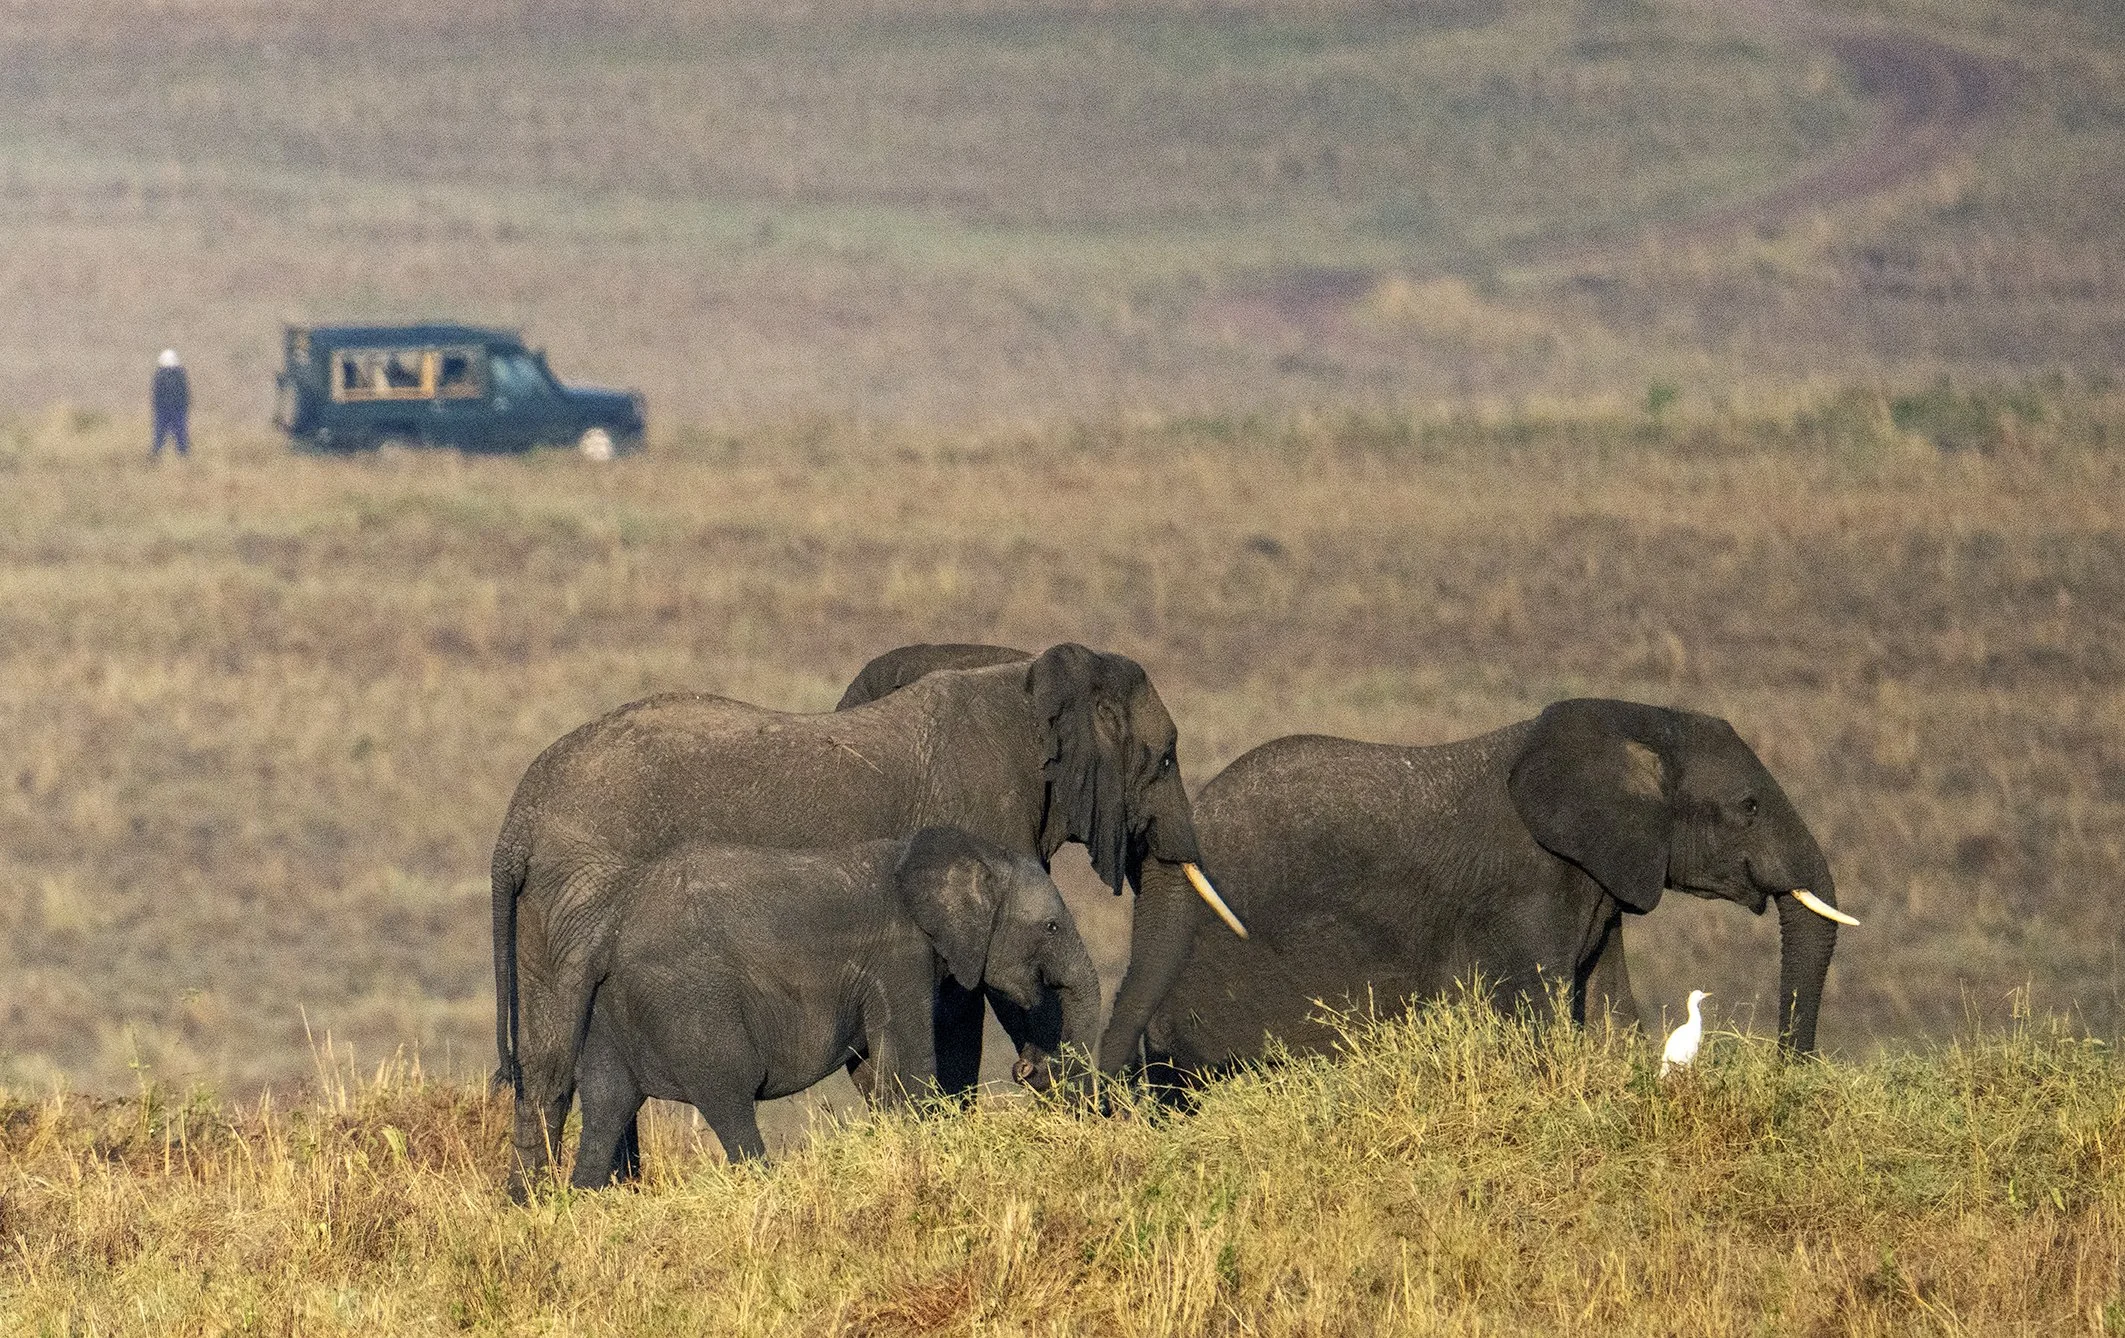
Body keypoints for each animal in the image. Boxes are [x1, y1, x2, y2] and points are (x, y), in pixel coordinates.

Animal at [571, 827, 1100, 1184]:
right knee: (729, 1098)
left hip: (608, 1010)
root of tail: (612, 936)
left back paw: (585, 1199)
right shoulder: (899, 956)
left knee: (605, 1103)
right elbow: (912, 1062)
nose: (1025, 1067)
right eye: (1052, 927)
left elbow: (873, 1071)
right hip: (693, 1004)